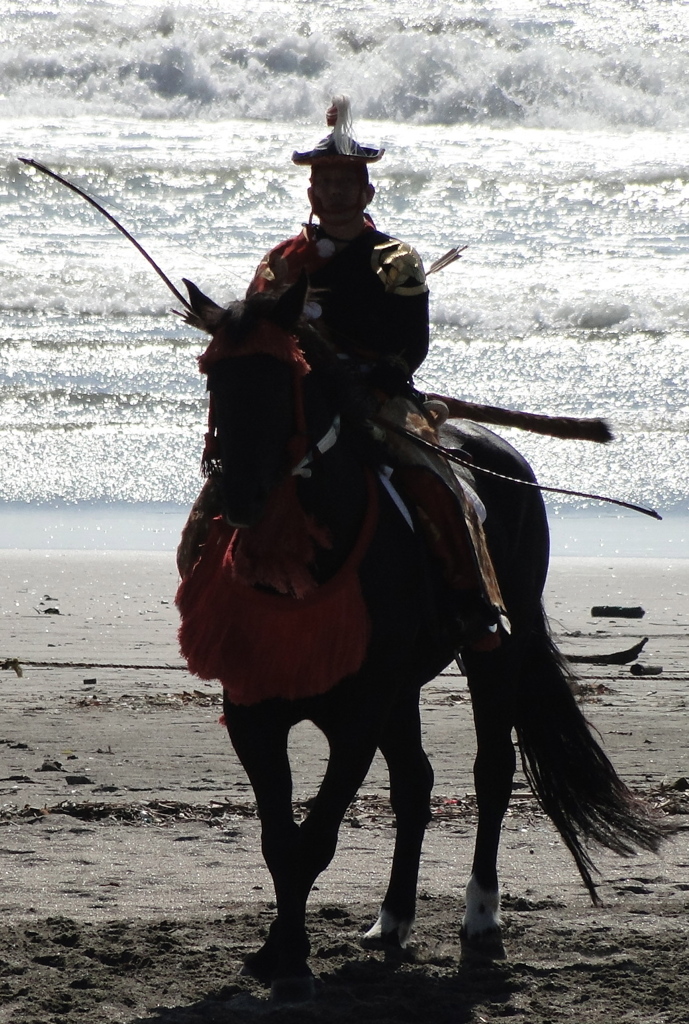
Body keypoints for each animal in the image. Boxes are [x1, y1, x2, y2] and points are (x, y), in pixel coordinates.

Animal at [175, 276, 663, 1003]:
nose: (239, 494)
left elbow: (315, 838)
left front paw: (291, 960)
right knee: (414, 783)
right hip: (400, 691)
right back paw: (393, 918)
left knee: (490, 772)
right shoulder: (254, 712)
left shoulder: (358, 714)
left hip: (497, 651)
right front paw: (276, 950)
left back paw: (480, 916)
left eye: (283, 376)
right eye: (214, 374)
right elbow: (279, 840)